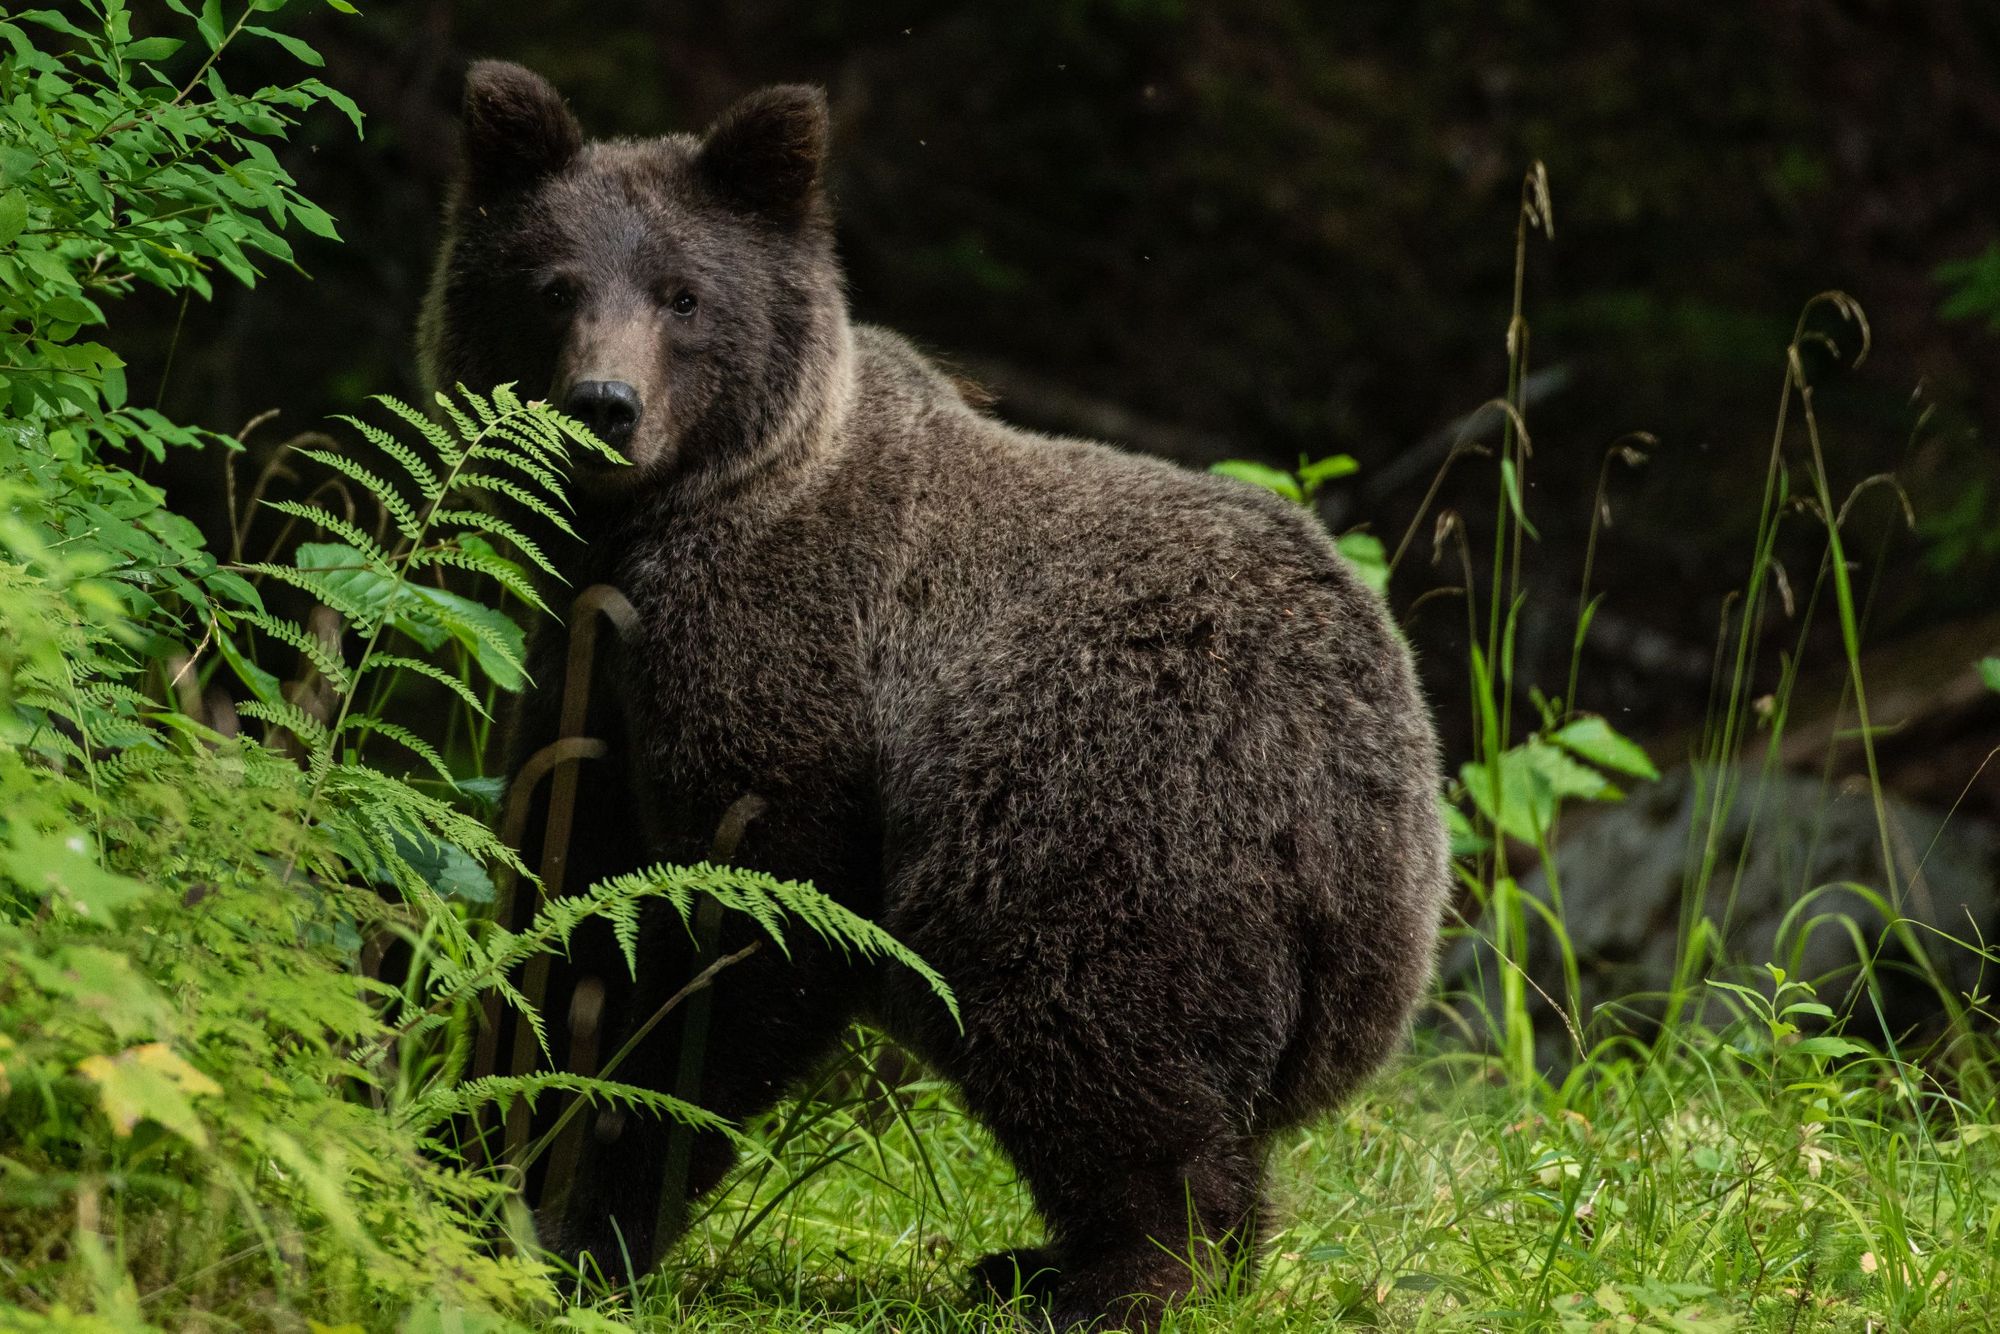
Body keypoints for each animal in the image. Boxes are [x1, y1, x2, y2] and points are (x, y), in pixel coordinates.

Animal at [422, 60, 1456, 1328]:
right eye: (553, 283)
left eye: (683, 296)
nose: (605, 403)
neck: (648, 539)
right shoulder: (595, 695)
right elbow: (565, 922)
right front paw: (475, 1157)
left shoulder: (788, 680)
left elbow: (744, 944)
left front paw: (592, 1220)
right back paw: (1042, 1259)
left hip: (1102, 816)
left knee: (1095, 1049)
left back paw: (1111, 1275)